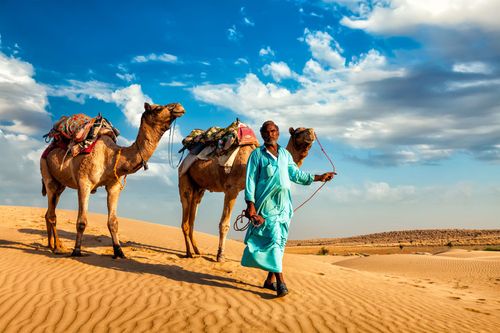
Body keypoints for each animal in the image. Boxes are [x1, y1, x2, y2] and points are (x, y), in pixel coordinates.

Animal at [40, 102, 186, 258]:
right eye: (158, 108)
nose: (179, 106)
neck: (111, 155)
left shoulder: (113, 186)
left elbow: (113, 222)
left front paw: (119, 251)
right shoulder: (84, 183)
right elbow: (82, 222)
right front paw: (77, 250)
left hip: (60, 185)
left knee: (49, 211)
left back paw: (52, 245)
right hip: (47, 173)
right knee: (52, 213)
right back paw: (57, 248)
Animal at [178, 126, 314, 260]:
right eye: (298, 132)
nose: (312, 132)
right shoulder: (232, 188)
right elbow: (224, 224)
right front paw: (220, 255)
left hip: (199, 187)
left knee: (193, 214)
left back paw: (197, 251)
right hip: (184, 176)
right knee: (186, 211)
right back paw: (189, 253)